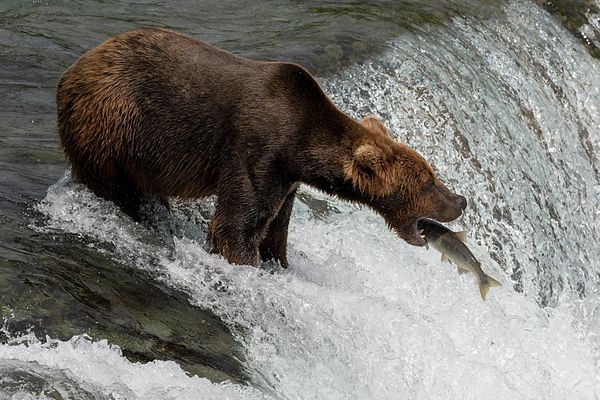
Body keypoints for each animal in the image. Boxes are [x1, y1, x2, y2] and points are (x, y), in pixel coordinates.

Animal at [57, 26, 468, 268]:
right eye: (428, 182)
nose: (461, 201)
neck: (300, 144)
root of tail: (75, 67)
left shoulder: (286, 177)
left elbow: (275, 227)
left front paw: (277, 262)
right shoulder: (256, 150)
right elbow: (237, 224)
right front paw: (245, 261)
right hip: (115, 123)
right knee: (115, 186)